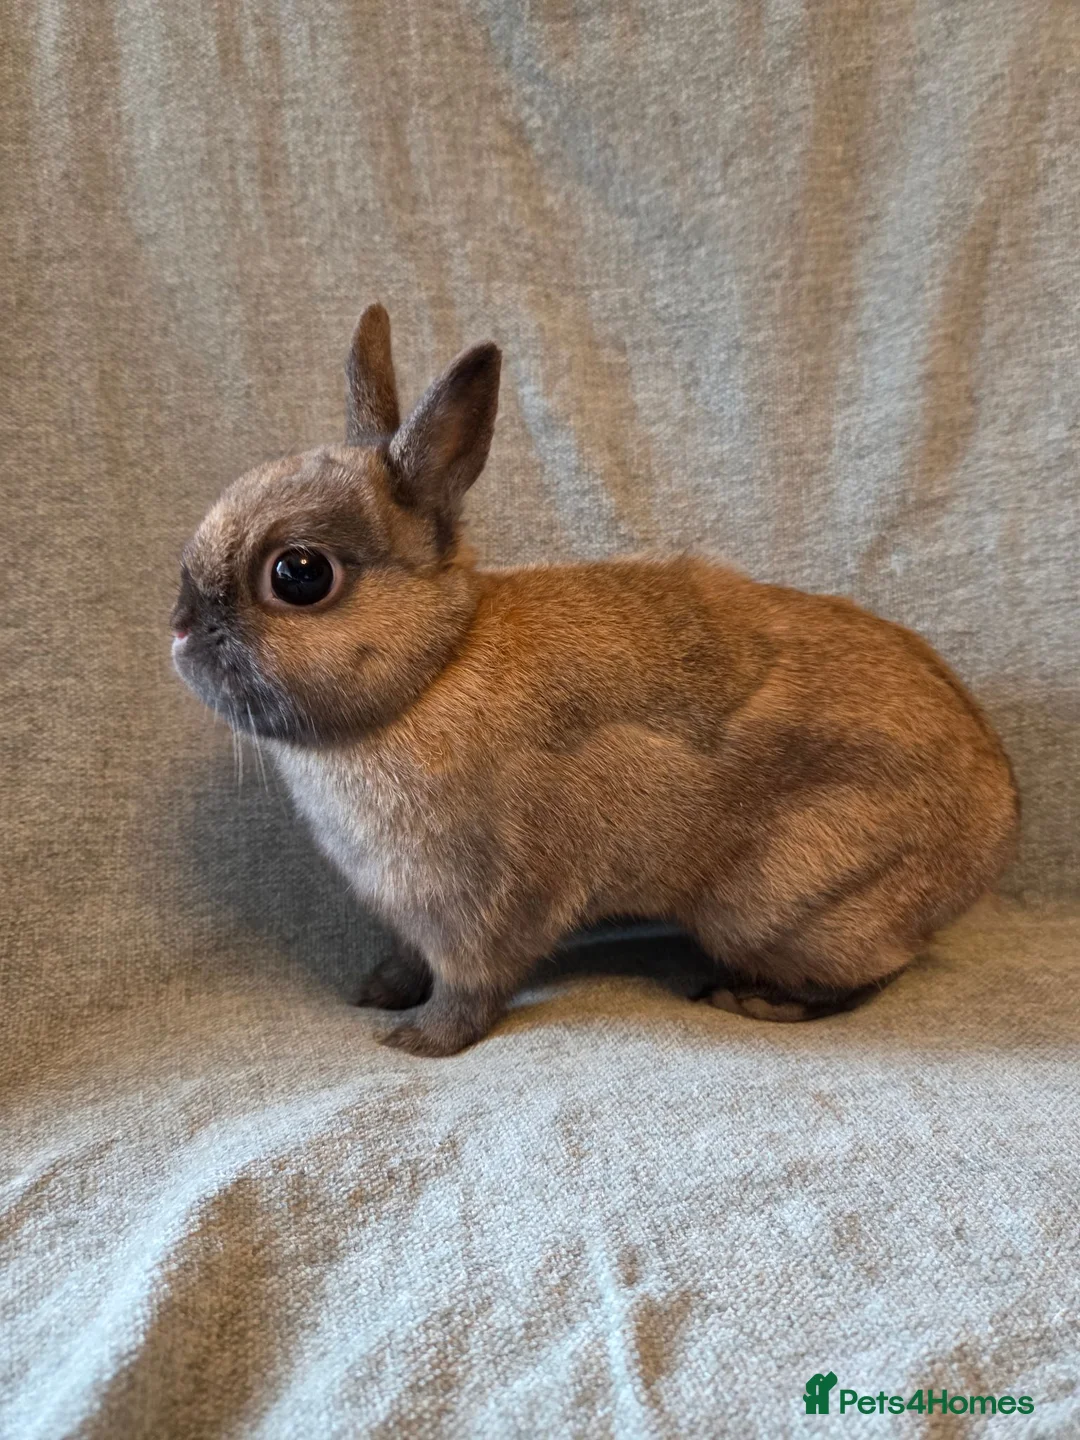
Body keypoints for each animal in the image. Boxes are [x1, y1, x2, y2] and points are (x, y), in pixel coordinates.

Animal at [171, 303, 1019, 1056]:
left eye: (300, 574)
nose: (179, 629)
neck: (433, 670)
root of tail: (996, 820)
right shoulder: (414, 913)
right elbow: (413, 960)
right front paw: (377, 990)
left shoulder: (483, 905)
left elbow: (472, 986)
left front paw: (417, 1041)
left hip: (783, 906)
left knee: (874, 972)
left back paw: (756, 1000)